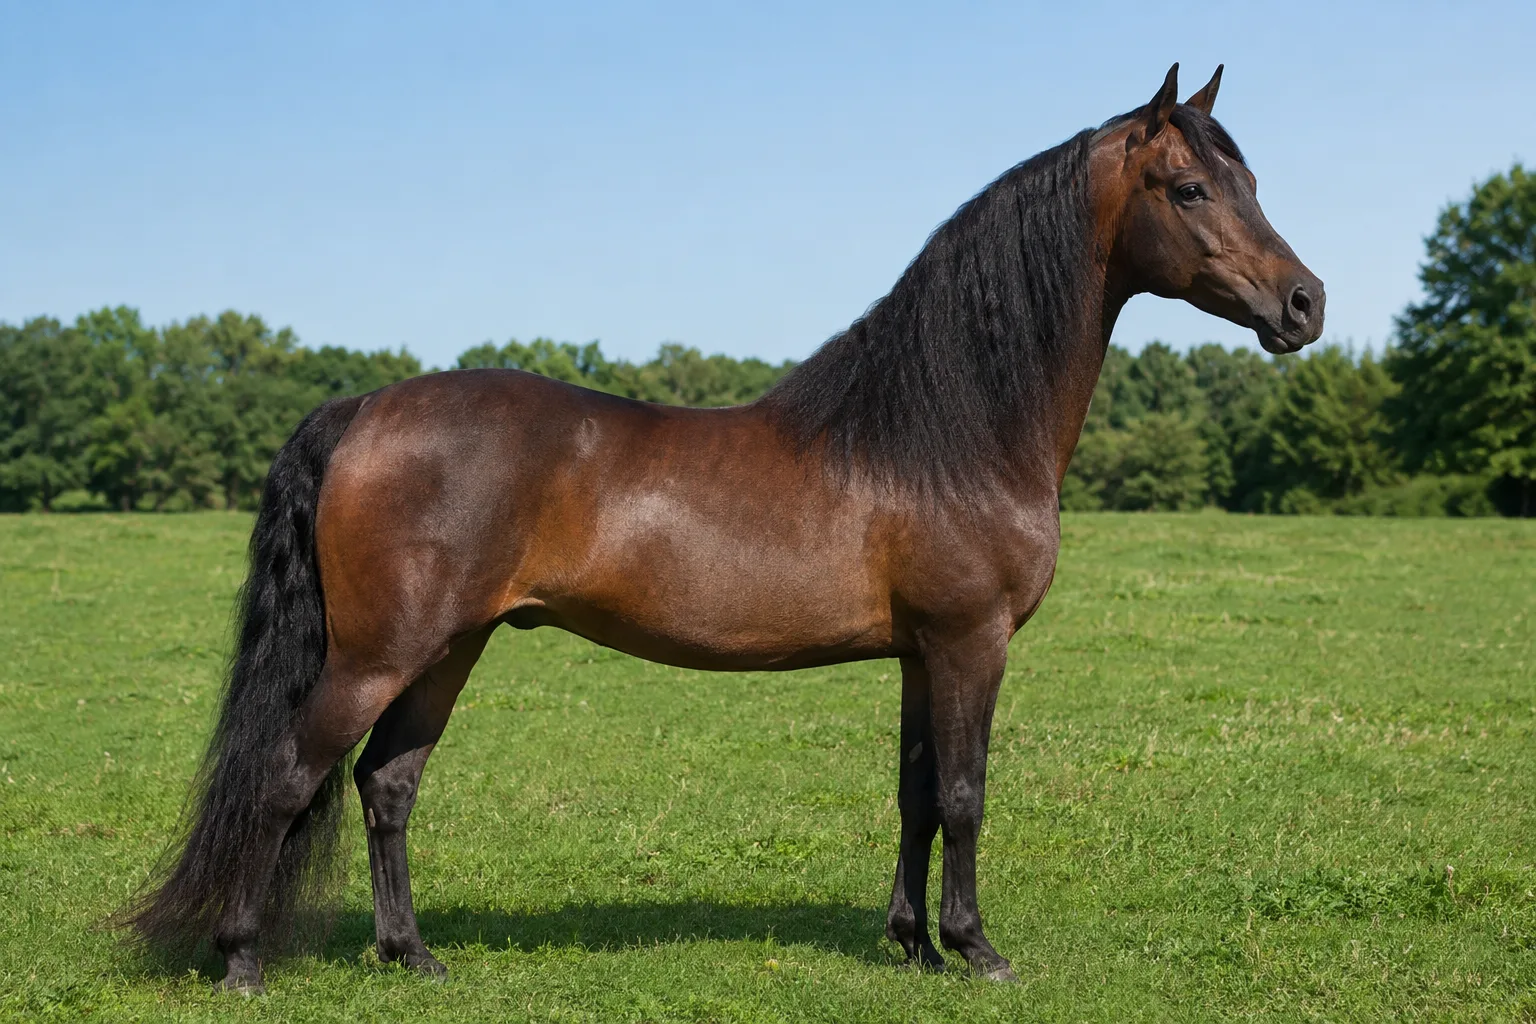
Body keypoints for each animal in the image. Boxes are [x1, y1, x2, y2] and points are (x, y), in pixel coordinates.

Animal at [123, 63, 1324, 993]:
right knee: (288, 776)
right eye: (1189, 187)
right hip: (379, 653)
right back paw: (241, 959)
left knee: (387, 784)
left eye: (1250, 181)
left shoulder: (919, 653)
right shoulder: (970, 641)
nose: (1304, 304)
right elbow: (968, 796)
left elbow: (917, 794)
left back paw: (410, 955)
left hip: (446, 648)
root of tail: (364, 408)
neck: (947, 431)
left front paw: (911, 945)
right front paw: (977, 950)